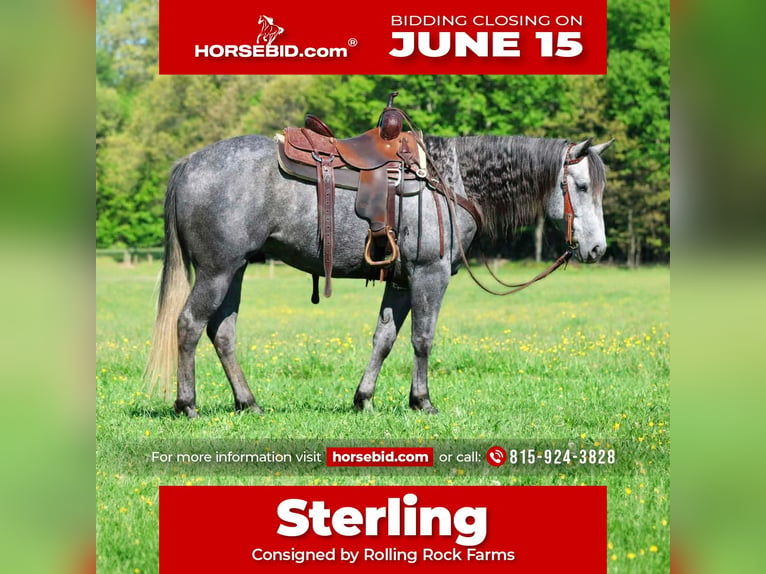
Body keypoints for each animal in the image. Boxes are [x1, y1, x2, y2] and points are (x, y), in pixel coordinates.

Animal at [145, 132, 613, 418]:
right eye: (582, 187)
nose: (597, 249)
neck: (449, 183)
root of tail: (189, 163)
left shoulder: (401, 282)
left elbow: (384, 338)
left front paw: (363, 399)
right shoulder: (429, 275)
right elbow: (423, 339)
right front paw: (422, 401)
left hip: (236, 270)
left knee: (222, 333)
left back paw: (249, 403)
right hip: (217, 271)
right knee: (188, 325)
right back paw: (188, 404)